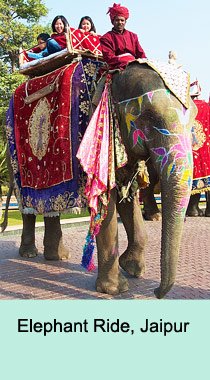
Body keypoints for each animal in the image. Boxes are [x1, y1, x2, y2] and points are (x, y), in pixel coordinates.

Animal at [85, 62, 197, 298]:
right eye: (147, 116)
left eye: (195, 117)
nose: (155, 292)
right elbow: (107, 203)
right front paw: (115, 290)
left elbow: (126, 195)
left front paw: (132, 268)